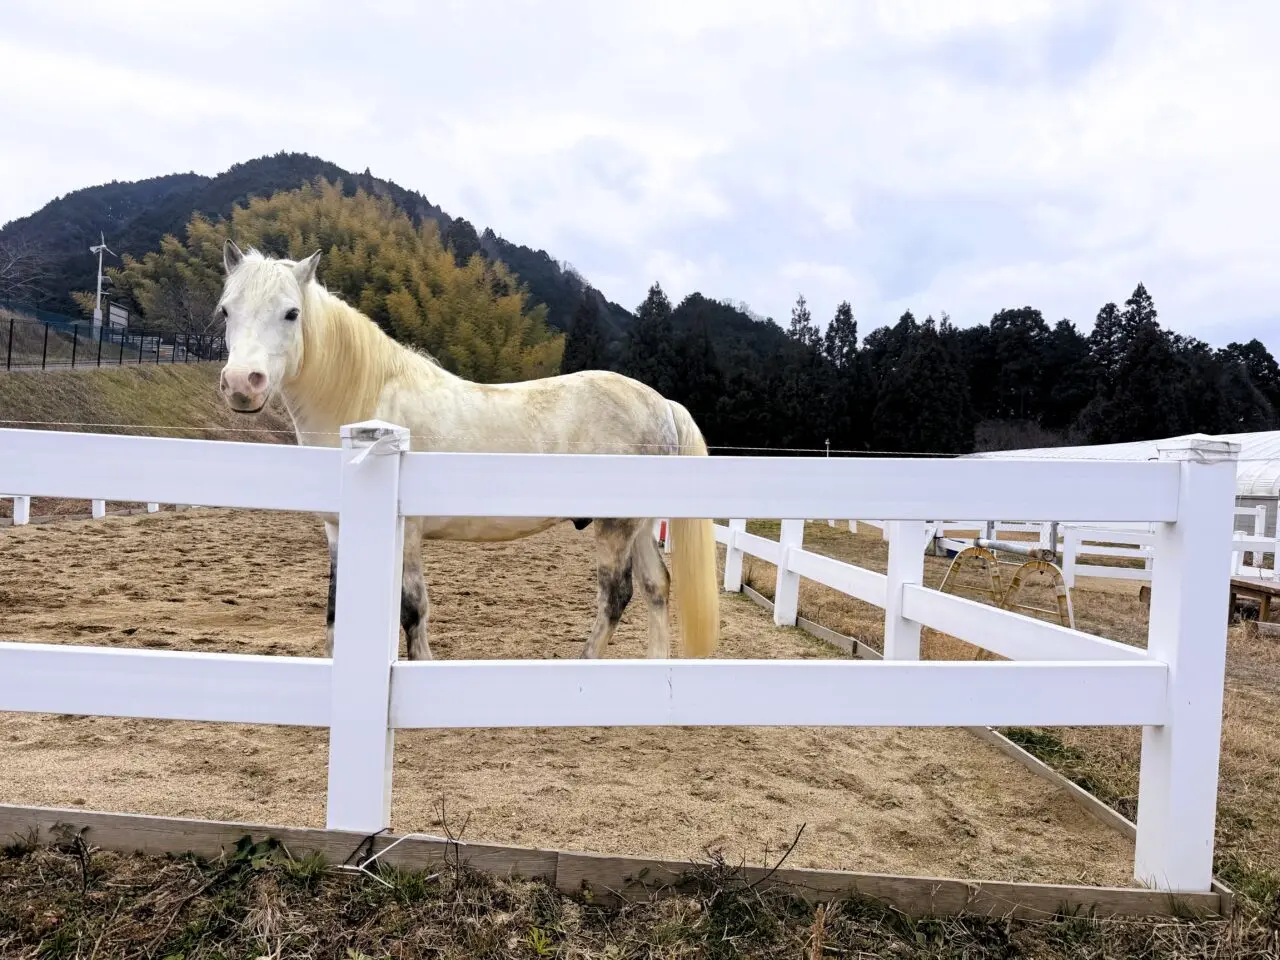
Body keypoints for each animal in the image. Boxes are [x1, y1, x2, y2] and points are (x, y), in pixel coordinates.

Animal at [214, 240, 719, 662]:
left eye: (291, 313)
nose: (242, 384)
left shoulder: (408, 534)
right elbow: (337, 607)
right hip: (641, 525)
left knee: (616, 596)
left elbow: (412, 610)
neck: (368, 397)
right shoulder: (338, 529)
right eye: (225, 312)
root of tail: (661, 403)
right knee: (656, 587)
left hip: (616, 526)